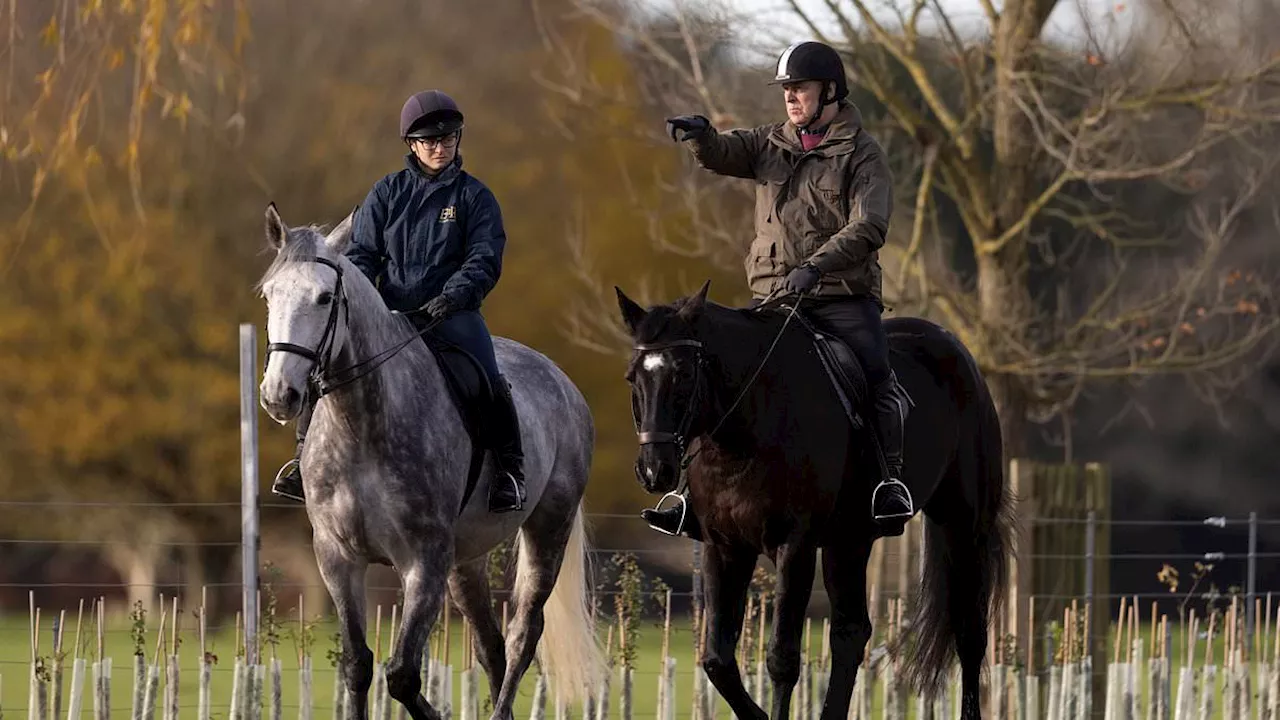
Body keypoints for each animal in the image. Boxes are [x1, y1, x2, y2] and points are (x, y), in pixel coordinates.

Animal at [257, 203, 606, 717]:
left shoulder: (423, 563)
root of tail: (562, 381)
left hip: (548, 530)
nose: (279, 395)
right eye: (269, 295)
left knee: (524, 633)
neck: (363, 426)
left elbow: (401, 674)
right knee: (491, 645)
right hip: (466, 562)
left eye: (324, 298)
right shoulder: (338, 559)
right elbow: (358, 665)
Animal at [614, 281, 1013, 717]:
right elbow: (717, 658)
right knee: (851, 633)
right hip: (849, 542)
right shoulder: (725, 548)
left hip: (962, 527)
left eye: (684, 373)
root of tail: (956, 349)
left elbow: (782, 659)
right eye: (633, 377)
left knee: (969, 634)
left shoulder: (796, 546)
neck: (745, 432)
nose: (655, 470)